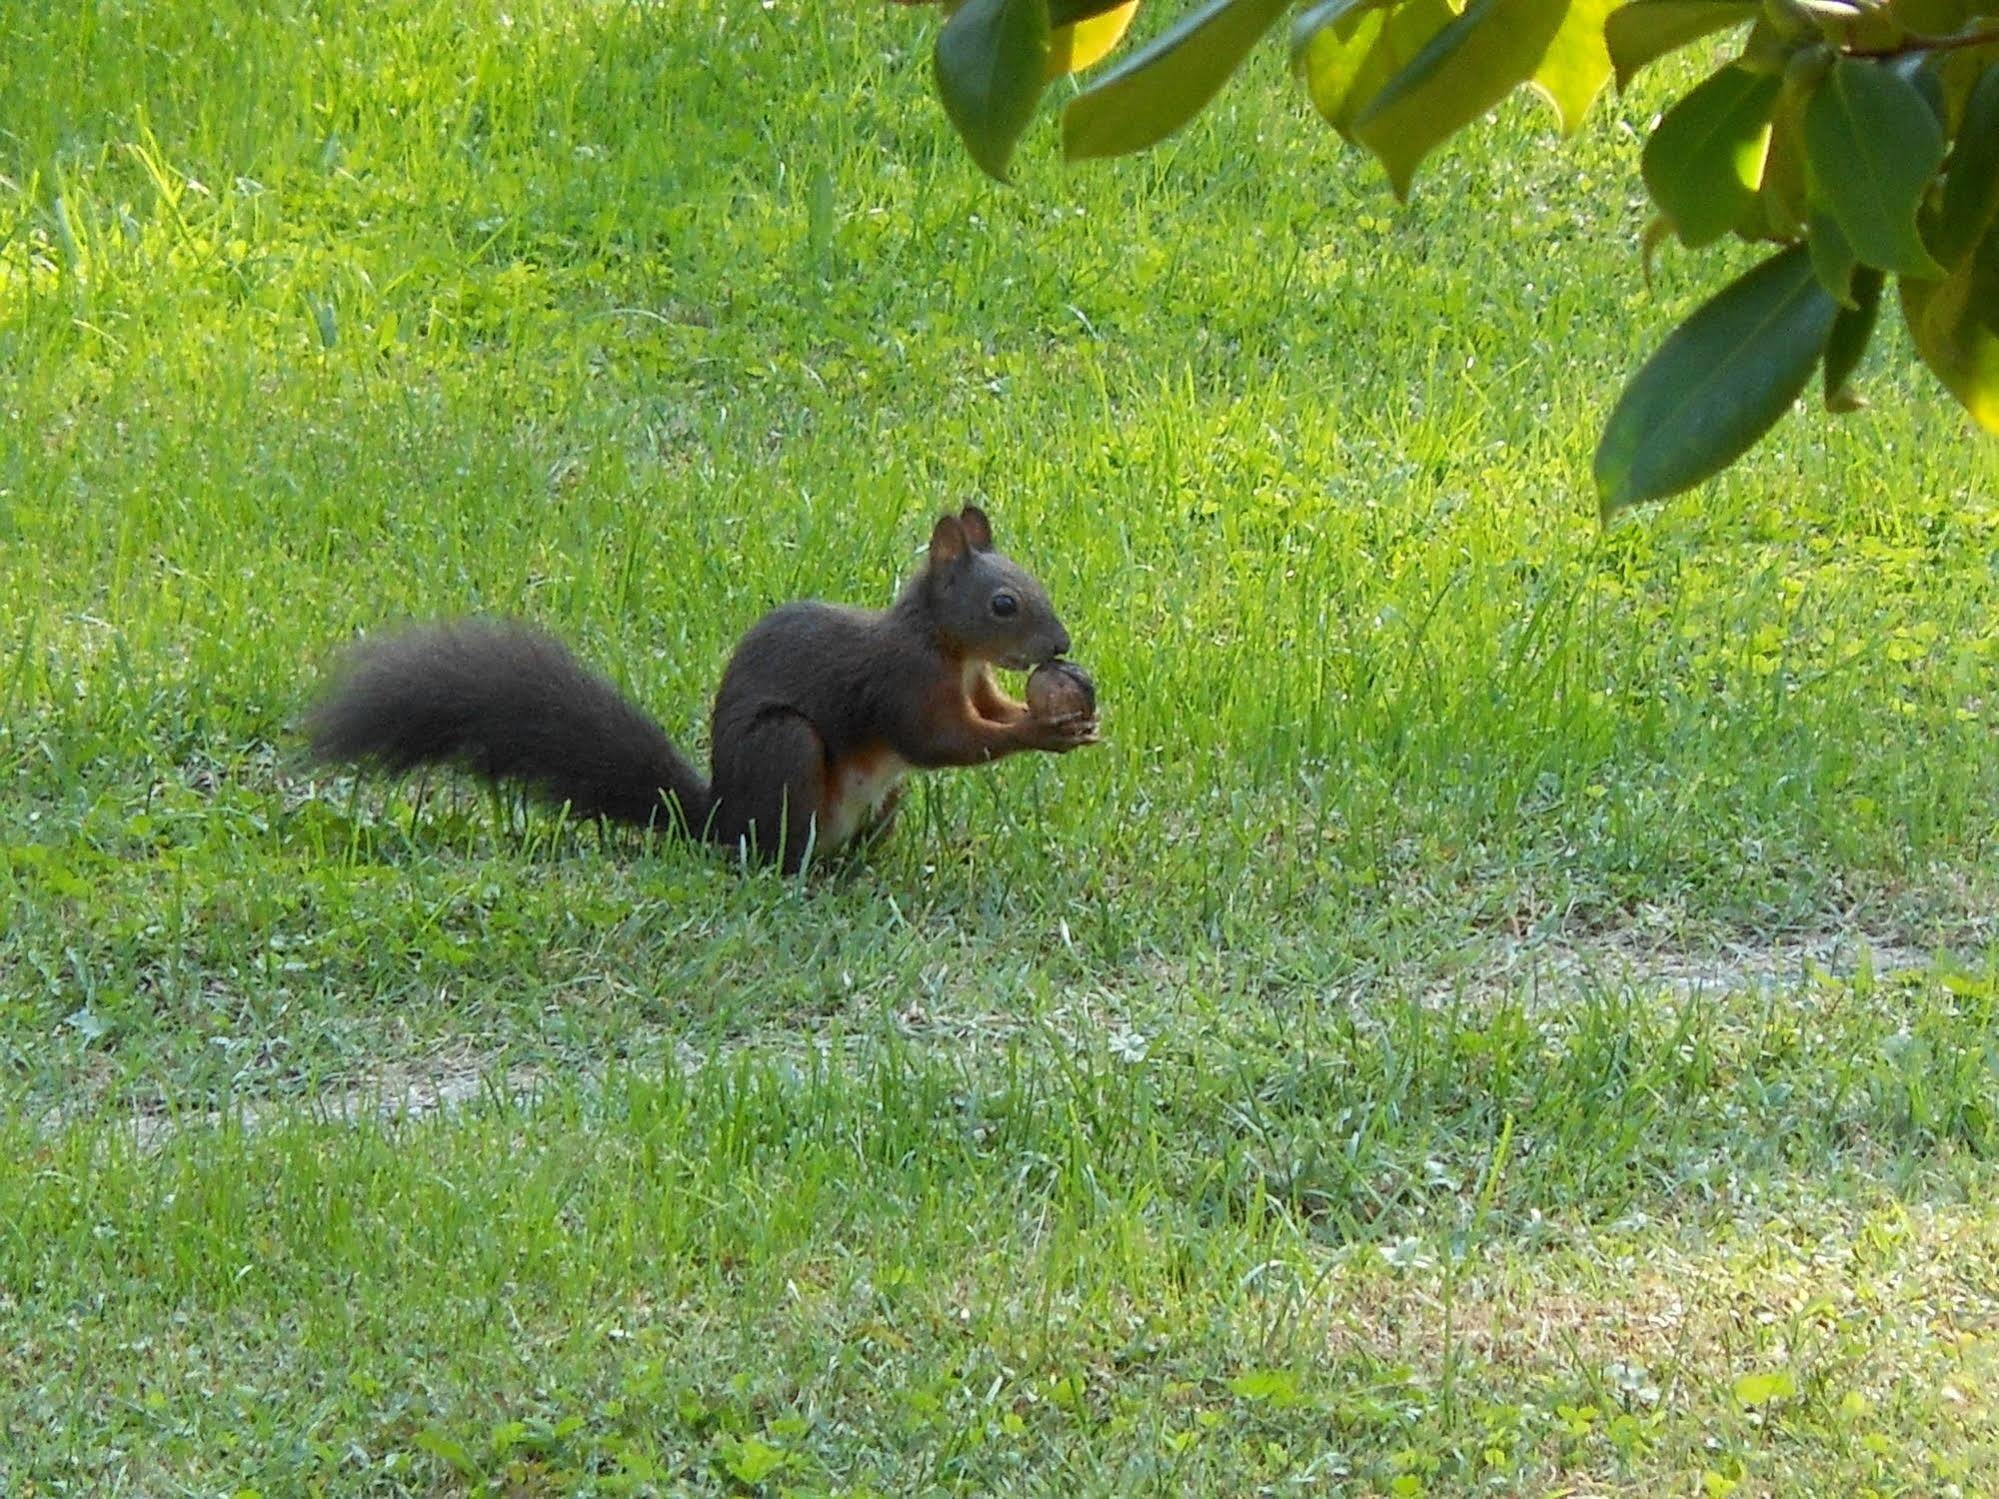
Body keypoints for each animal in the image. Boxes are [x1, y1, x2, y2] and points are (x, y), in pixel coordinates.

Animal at [303, 511, 1103, 875]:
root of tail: (723, 821)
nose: (1061, 646)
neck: (946, 644)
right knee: (784, 849)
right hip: (785, 750)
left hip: (882, 800)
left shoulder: (974, 680)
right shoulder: (902, 681)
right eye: (1004, 604)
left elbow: (988, 712)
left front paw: (1068, 718)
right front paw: (1043, 730)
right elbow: (939, 740)